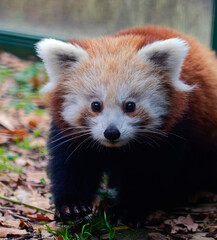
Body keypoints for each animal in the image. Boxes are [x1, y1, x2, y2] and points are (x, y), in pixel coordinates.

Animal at [36, 26, 217, 225]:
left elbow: (148, 175)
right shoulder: (70, 135)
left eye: (130, 106)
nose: (111, 132)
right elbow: (71, 166)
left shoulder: (173, 132)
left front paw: (127, 210)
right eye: (96, 105)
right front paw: (73, 206)